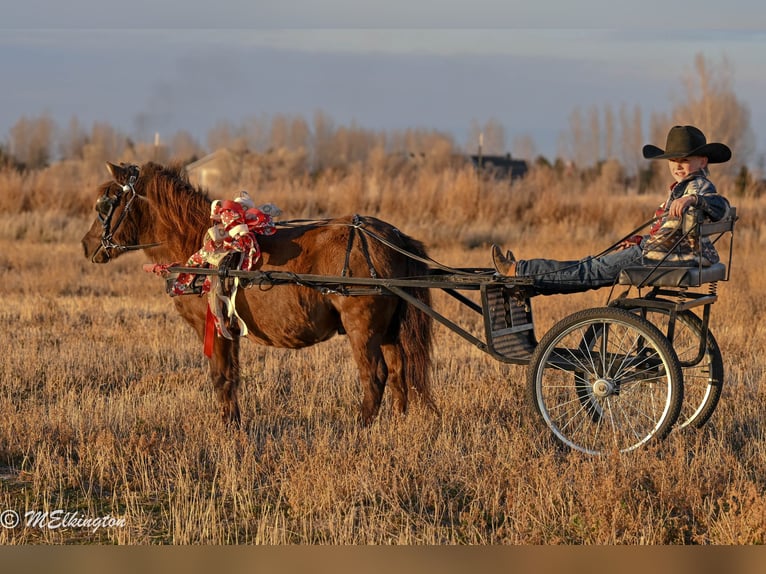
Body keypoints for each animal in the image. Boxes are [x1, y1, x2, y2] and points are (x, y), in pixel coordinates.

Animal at [81, 161, 436, 427]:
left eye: (105, 204)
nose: (87, 245)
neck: (201, 247)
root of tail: (393, 236)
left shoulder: (215, 328)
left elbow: (221, 378)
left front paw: (228, 430)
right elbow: (232, 378)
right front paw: (235, 425)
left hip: (363, 328)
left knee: (374, 377)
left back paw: (359, 429)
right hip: (387, 331)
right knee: (400, 374)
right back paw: (396, 425)